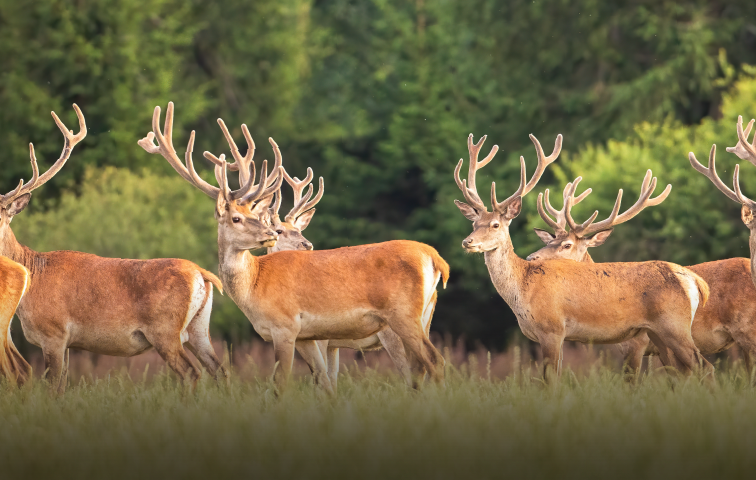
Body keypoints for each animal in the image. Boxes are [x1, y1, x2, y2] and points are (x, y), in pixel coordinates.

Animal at [0, 105, 228, 393]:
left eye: (2, 214)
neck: (32, 277)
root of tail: (201, 273)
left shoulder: (53, 333)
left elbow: (51, 387)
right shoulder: (65, 342)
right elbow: (61, 388)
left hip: (165, 330)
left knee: (191, 372)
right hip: (199, 329)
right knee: (220, 370)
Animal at [140, 102, 449, 392]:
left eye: (254, 216)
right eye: (237, 217)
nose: (269, 235)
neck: (255, 286)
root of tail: (435, 258)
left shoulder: (285, 326)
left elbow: (281, 383)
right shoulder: (307, 336)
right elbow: (324, 382)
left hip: (401, 316)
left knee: (434, 362)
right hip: (419, 318)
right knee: (421, 367)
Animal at [453, 132, 713, 379]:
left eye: (495, 224)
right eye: (474, 224)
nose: (467, 242)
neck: (523, 290)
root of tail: (693, 280)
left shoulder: (552, 328)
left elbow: (549, 380)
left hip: (673, 326)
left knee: (705, 366)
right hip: (659, 334)